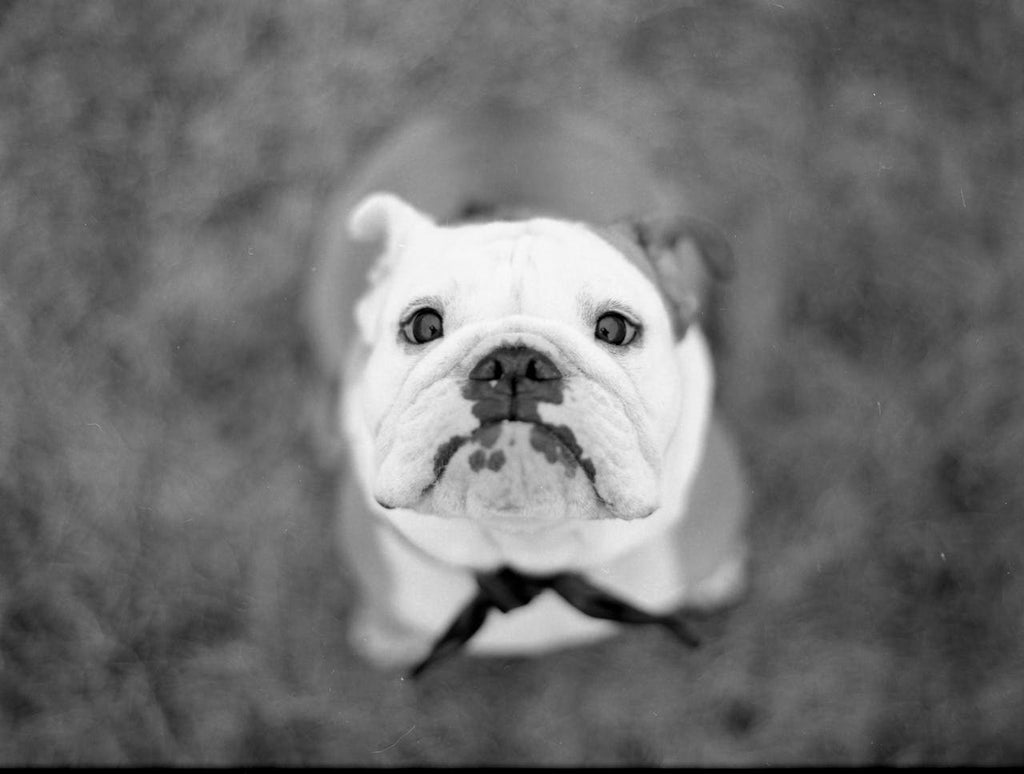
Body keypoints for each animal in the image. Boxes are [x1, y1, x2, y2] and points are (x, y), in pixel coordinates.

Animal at [307, 105, 749, 675]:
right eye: (423, 325)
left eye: (614, 328)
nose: (515, 363)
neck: (534, 547)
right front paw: (387, 631)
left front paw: (717, 572)